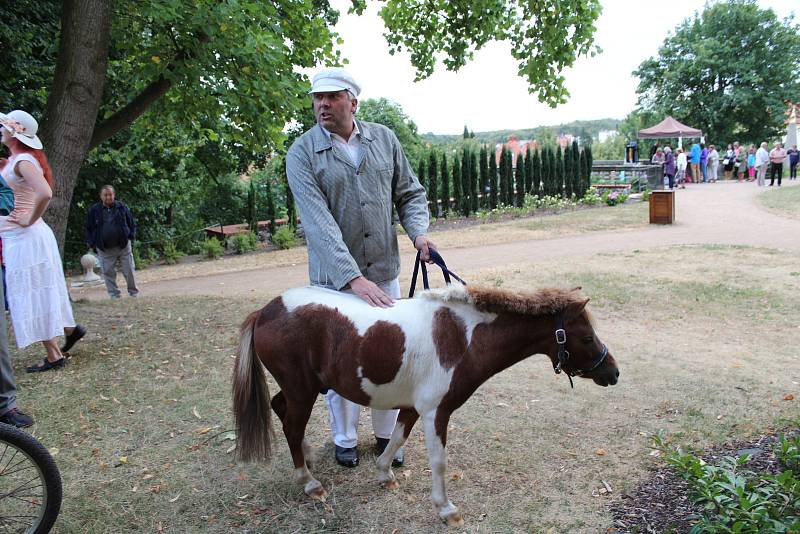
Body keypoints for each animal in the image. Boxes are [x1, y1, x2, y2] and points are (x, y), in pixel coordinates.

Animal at [231, 284, 620, 528]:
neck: (462, 336)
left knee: (282, 410)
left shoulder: (414, 407)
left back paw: (309, 457)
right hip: (303, 391)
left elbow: (396, 439)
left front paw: (385, 475)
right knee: (291, 426)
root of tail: (265, 312)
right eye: (587, 337)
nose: (613, 373)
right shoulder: (437, 412)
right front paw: (446, 510)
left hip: (299, 390)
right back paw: (309, 482)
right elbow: (439, 462)